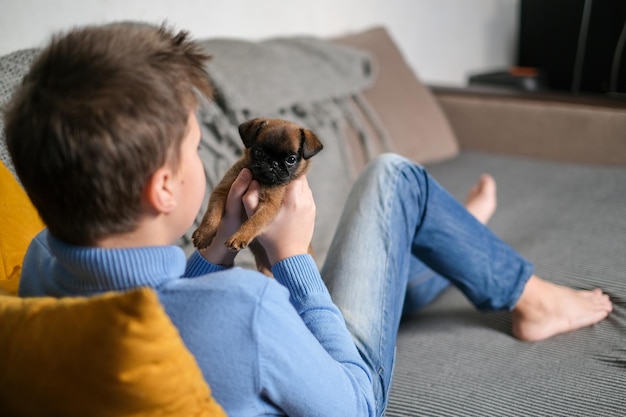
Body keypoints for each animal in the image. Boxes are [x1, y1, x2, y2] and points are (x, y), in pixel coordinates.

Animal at [191, 117, 322, 274]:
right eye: (259, 152)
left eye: (291, 159)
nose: (274, 163)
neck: (259, 180)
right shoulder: (222, 191)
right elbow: (211, 215)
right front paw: (204, 234)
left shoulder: (269, 206)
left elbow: (254, 221)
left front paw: (240, 236)